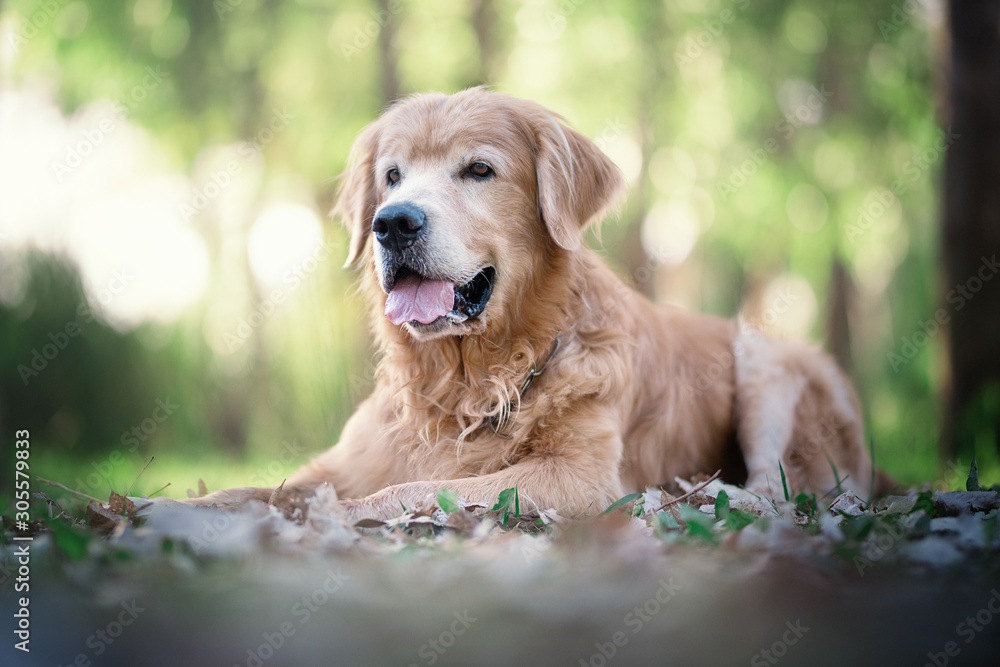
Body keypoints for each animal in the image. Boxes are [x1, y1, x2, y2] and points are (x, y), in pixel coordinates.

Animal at [182, 88, 892, 524]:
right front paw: (191, 508)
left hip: (764, 359)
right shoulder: (346, 458)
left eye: (478, 170)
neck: (466, 381)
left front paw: (328, 515)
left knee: (777, 492)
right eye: (391, 176)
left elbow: (409, 489)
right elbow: (257, 486)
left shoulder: (577, 477)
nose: (393, 223)